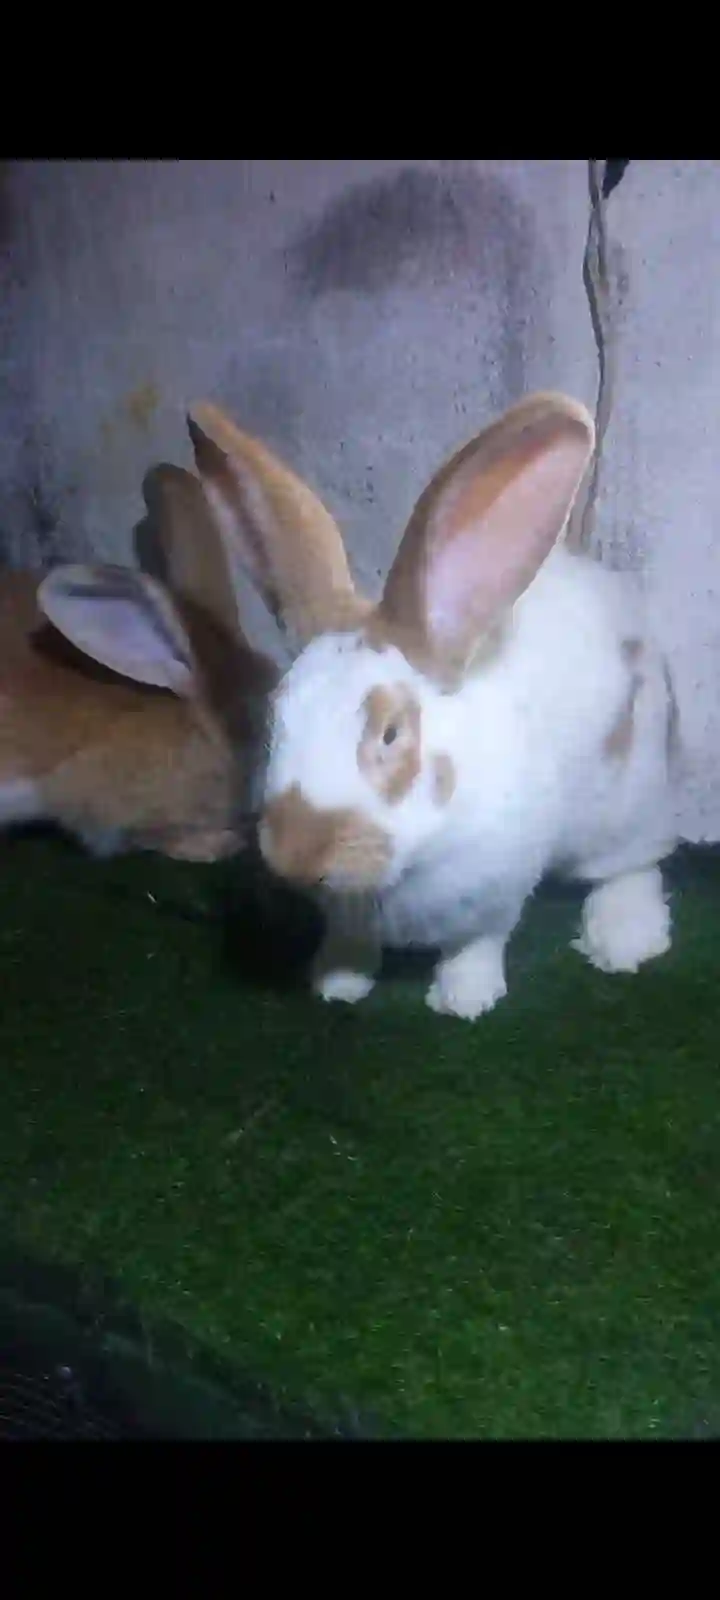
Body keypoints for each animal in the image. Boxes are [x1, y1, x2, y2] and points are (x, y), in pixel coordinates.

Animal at [185, 391, 681, 1019]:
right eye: (276, 717)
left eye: (391, 733)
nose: (296, 853)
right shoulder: (348, 915)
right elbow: (347, 944)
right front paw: (335, 986)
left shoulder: (492, 892)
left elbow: (476, 944)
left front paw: (463, 1001)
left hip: (627, 798)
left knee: (633, 864)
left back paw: (623, 939)